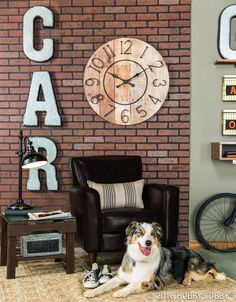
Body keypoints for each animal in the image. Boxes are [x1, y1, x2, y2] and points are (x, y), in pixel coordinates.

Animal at [83, 221, 225, 298]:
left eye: (153, 234)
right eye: (140, 233)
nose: (148, 242)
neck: (139, 260)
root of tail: (193, 250)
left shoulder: (154, 282)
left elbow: (133, 284)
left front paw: (120, 292)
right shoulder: (120, 278)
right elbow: (105, 285)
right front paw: (91, 292)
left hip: (196, 268)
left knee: (210, 265)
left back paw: (220, 276)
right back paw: (186, 280)